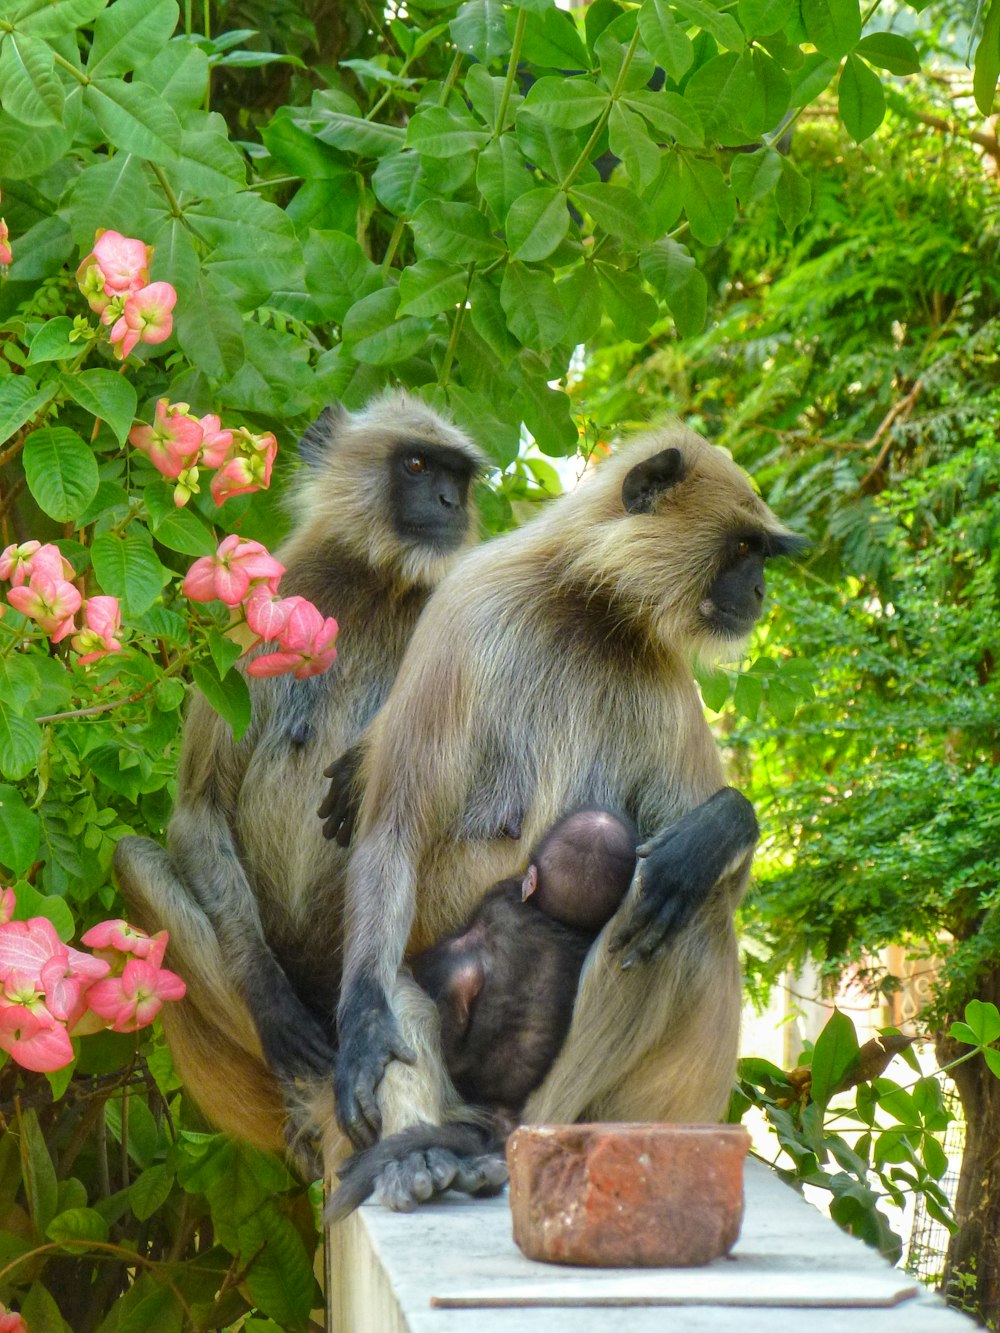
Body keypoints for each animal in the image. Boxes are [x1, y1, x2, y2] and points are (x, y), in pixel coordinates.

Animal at [112, 391, 485, 1167]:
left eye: (458, 478)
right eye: (417, 465)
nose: (447, 502)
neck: (377, 581)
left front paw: (366, 761)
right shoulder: (255, 615)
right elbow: (197, 809)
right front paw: (270, 1001)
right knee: (131, 857)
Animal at [333, 421, 805, 1205]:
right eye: (743, 550)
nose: (761, 591)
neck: (587, 602)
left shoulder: (661, 671)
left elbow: (717, 874)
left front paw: (721, 826)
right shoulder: (466, 604)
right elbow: (394, 832)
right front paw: (365, 1031)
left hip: (657, 1101)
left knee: (685, 904)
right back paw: (424, 1155)